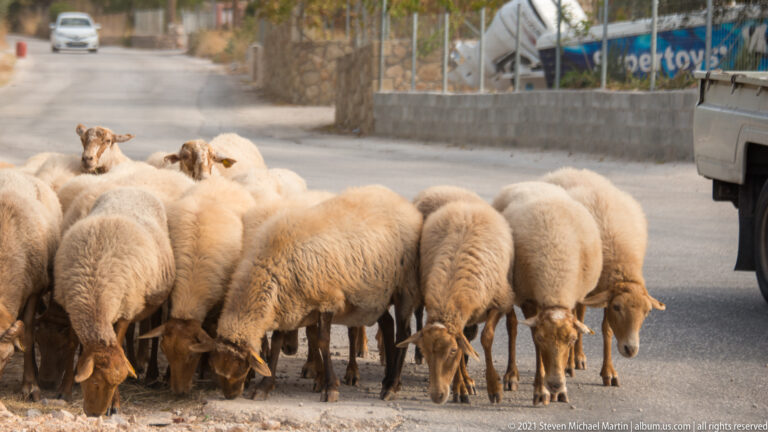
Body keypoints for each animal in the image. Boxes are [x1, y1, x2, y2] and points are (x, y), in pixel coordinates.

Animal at [54, 187, 175, 416]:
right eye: (94, 383)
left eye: (115, 385)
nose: (95, 414)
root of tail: (133, 188)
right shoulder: (70, 306)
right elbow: (72, 345)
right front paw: (64, 390)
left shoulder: (125, 312)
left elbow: (119, 345)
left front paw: (115, 405)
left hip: (151, 299)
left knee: (154, 330)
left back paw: (151, 372)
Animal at [198, 185, 422, 403]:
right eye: (217, 368)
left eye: (239, 367)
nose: (230, 395)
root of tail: (403, 203)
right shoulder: (286, 303)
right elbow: (277, 341)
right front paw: (264, 386)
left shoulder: (327, 300)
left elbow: (323, 341)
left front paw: (330, 388)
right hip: (377, 297)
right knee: (388, 325)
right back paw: (387, 380)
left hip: (404, 288)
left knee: (403, 333)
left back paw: (391, 386)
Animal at [397, 198, 514, 405]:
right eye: (425, 351)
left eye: (451, 350)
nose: (436, 396)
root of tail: (466, 205)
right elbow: (463, 348)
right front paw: (460, 388)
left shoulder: (499, 303)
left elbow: (486, 338)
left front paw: (494, 388)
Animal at [495, 181, 602, 406]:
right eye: (541, 338)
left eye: (571, 339)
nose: (555, 384)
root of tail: (529, 183)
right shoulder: (529, 300)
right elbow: (536, 351)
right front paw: (541, 390)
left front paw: (560, 390)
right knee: (512, 326)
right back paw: (511, 375)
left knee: (579, 315)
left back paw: (572, 364)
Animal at [541, 167, 665, 387]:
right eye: (617, 307)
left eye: (648, 311)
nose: (630, 349)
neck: (619, 262)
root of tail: (568, 171)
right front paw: (568, 365)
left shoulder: (606, 293)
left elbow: (606, 329)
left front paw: (609, 372)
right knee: (577, 315)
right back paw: (573, 360)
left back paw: (579, 358)